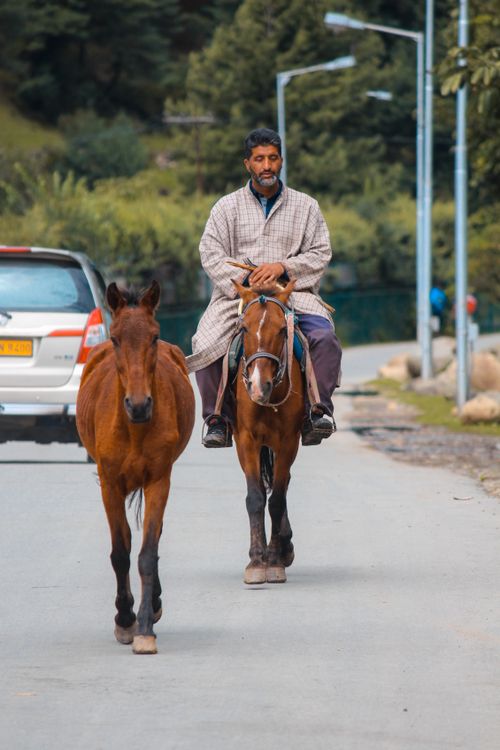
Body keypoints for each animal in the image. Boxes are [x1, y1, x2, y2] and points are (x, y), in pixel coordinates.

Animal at [76, 281, 195, 654]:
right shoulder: (110, 483)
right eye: (115, 338)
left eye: (154, 336)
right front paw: (125, 620)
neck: (134, 427)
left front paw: (143, 627)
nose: (139, 405)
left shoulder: (159, 480)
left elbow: (147, 553)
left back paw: (153, 604)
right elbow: (121, 551)